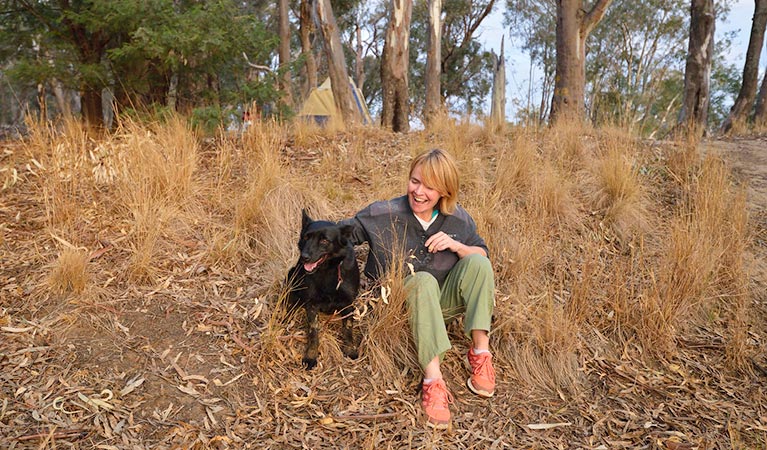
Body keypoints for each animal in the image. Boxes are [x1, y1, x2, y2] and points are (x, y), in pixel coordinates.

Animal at [286, 211, 362, 370]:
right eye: (306, 237)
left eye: (324, 241)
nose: (304, 257)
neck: (328, 270)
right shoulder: (311, 304)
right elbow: (313, 332)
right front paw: (311, 356)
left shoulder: (348, 303)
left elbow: (348, 328)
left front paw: (350, 350)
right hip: (292, 276)